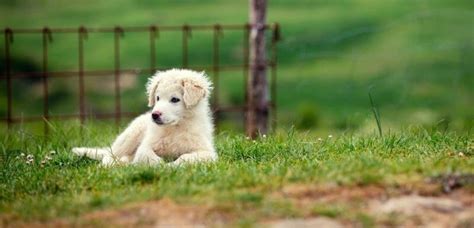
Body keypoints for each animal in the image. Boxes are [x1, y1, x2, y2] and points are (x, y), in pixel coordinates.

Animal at [71, 68, 217, 167]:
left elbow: (186, 157)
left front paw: (172, 165)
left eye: (175, 99)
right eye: (157, 98)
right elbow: (146, 154)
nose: (155, 115)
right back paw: (115, 164)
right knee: (109, 155)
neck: (174, 128)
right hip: (129, 137)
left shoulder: (207, 152)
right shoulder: (145, 145)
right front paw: (160, 165)